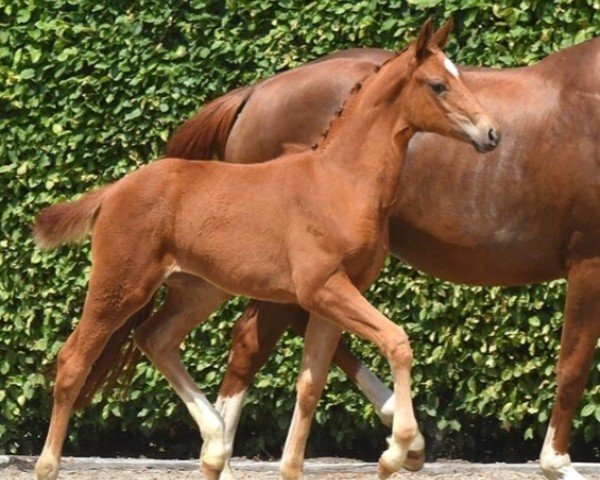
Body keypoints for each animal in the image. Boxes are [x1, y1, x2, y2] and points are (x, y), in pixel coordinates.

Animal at [34, 22, 502, 480]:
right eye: (439, 84)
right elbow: (398, 341)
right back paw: (48, 465)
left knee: (155, 338)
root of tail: (114, 190)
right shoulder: (324, 288)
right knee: (73, 360)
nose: (492, 133)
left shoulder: (330, 299)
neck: (340, 181)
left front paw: (293, 466)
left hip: (199, 290)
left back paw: (216, 441)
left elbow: (310, 383)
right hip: (121, 285)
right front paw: (396, 451)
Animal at [165, 37, 600, 480]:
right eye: (439, 85)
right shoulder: (588, 263)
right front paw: (558, 464)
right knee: (250, 343)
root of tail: (255, 93)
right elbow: (573, 366)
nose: (493, 135)